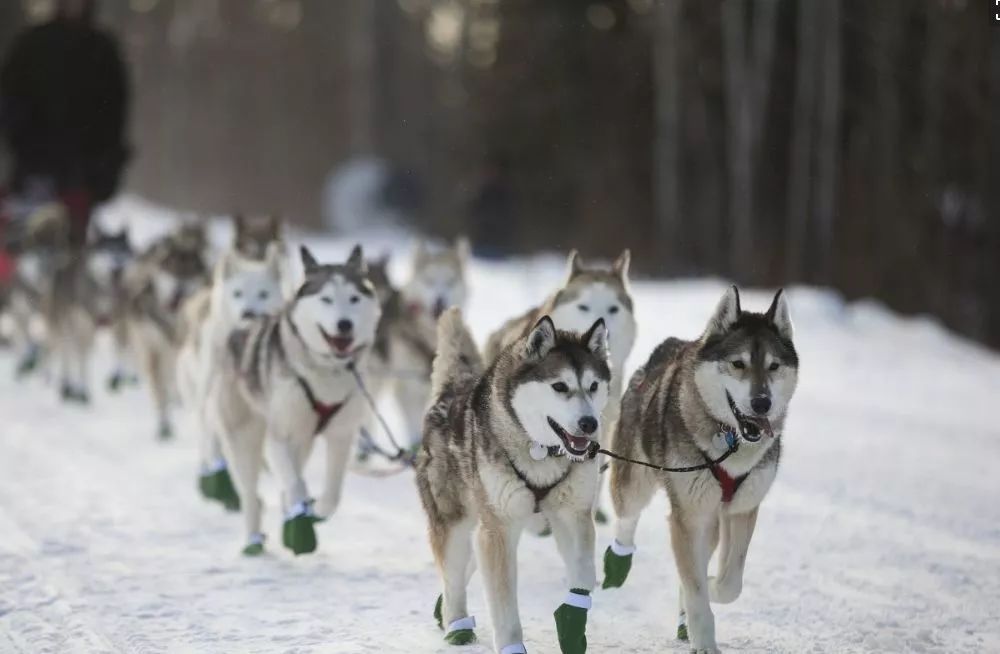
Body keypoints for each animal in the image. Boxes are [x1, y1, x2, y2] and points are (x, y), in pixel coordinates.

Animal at [209, 243, 380, 556]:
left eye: (353, 298)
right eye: (326, 299)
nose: (345, 324)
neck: (327, 371)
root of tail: (244, 324)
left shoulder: (341, 435)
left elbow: (333, 493)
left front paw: (317, 511)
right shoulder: (281, 436)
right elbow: (296, 485)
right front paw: (301, 521)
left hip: (304, 441)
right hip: (244, 438)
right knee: (252, 492)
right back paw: (254, 539)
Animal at [414, 308, 608, 654]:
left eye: (594, 385)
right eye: (560, 386)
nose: (589, 423)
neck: (541, 450)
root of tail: (451, 389)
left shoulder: (575, 515)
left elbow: (584, 574)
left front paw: (572, 621)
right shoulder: (499, 529)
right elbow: (502, 599)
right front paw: (511, 645)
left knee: (467, 565)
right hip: (457, 519)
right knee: (453, 574)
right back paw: (456, 623)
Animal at [600, 288, 796, 654]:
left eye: (774, 366)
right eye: (738, 363)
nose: (762, 403)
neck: (731, 441)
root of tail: (670, 346)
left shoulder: (743, 509)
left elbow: (729, 583)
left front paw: (710, 588)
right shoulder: (687, 517)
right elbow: (695, 588)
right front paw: (704, 639)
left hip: (713, 517)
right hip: (636, 482)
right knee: (627, 519)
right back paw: (618, 562)